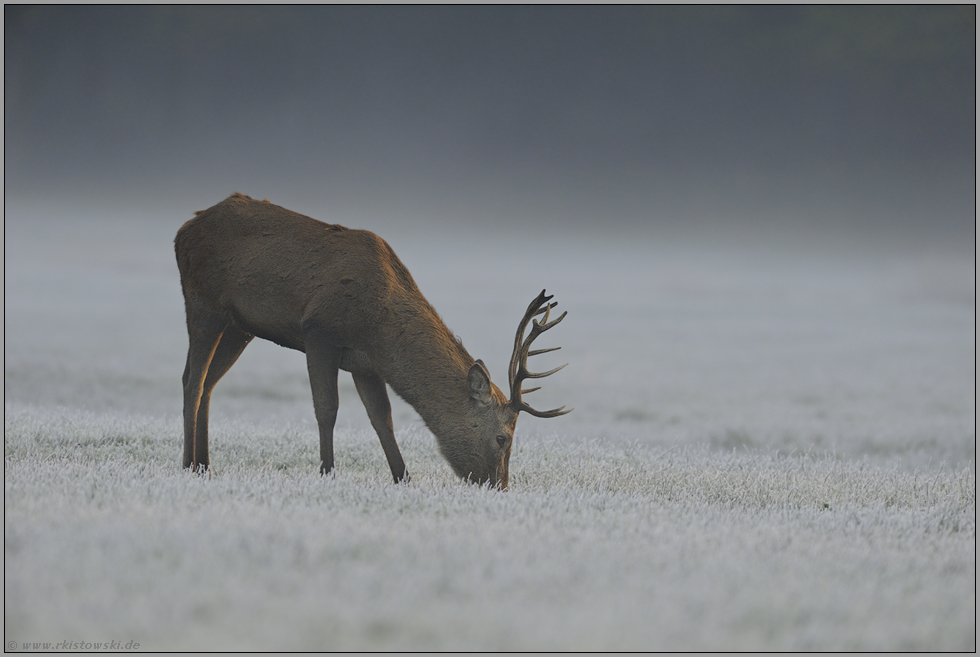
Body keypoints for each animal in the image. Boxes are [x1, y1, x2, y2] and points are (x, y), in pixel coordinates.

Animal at [176, 192, 568, 484]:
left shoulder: (365, 363)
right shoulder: (319, 331)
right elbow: (327, 408)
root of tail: (184, 229)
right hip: (203, 302)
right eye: (503, 438)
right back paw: (187, 465)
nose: (499, 486)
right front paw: (327, 473)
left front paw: (404, 478)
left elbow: (382, 417)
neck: (380, 327)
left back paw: (205, 464)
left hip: (239, 327)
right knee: (192, 379)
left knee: (209, 382)